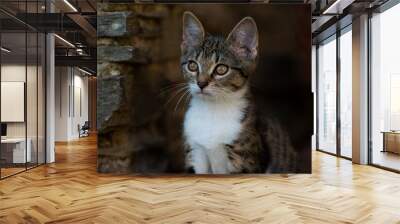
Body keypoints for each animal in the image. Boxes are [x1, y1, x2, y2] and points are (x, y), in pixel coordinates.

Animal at [181, 11, 296, 174]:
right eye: (192, 66)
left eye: (221, 69)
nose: (201, 83)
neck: (212, 110)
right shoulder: (195, 152)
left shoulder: (245, 161)